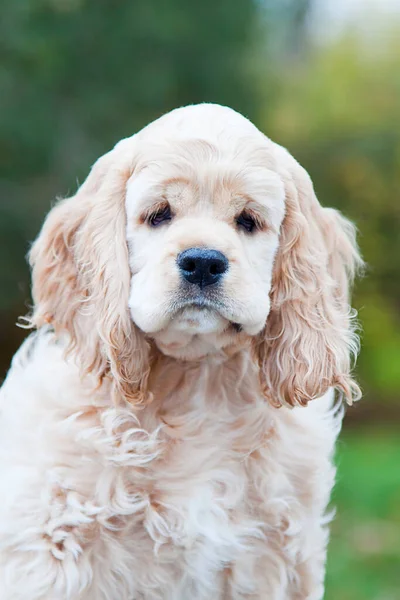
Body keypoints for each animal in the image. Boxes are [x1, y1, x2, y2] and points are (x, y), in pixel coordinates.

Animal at [0, 105, 362, 596]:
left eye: (248, 220)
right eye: (159, 215)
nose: (203, 262)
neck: (196, 383)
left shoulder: (272, 559)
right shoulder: (55, 549)